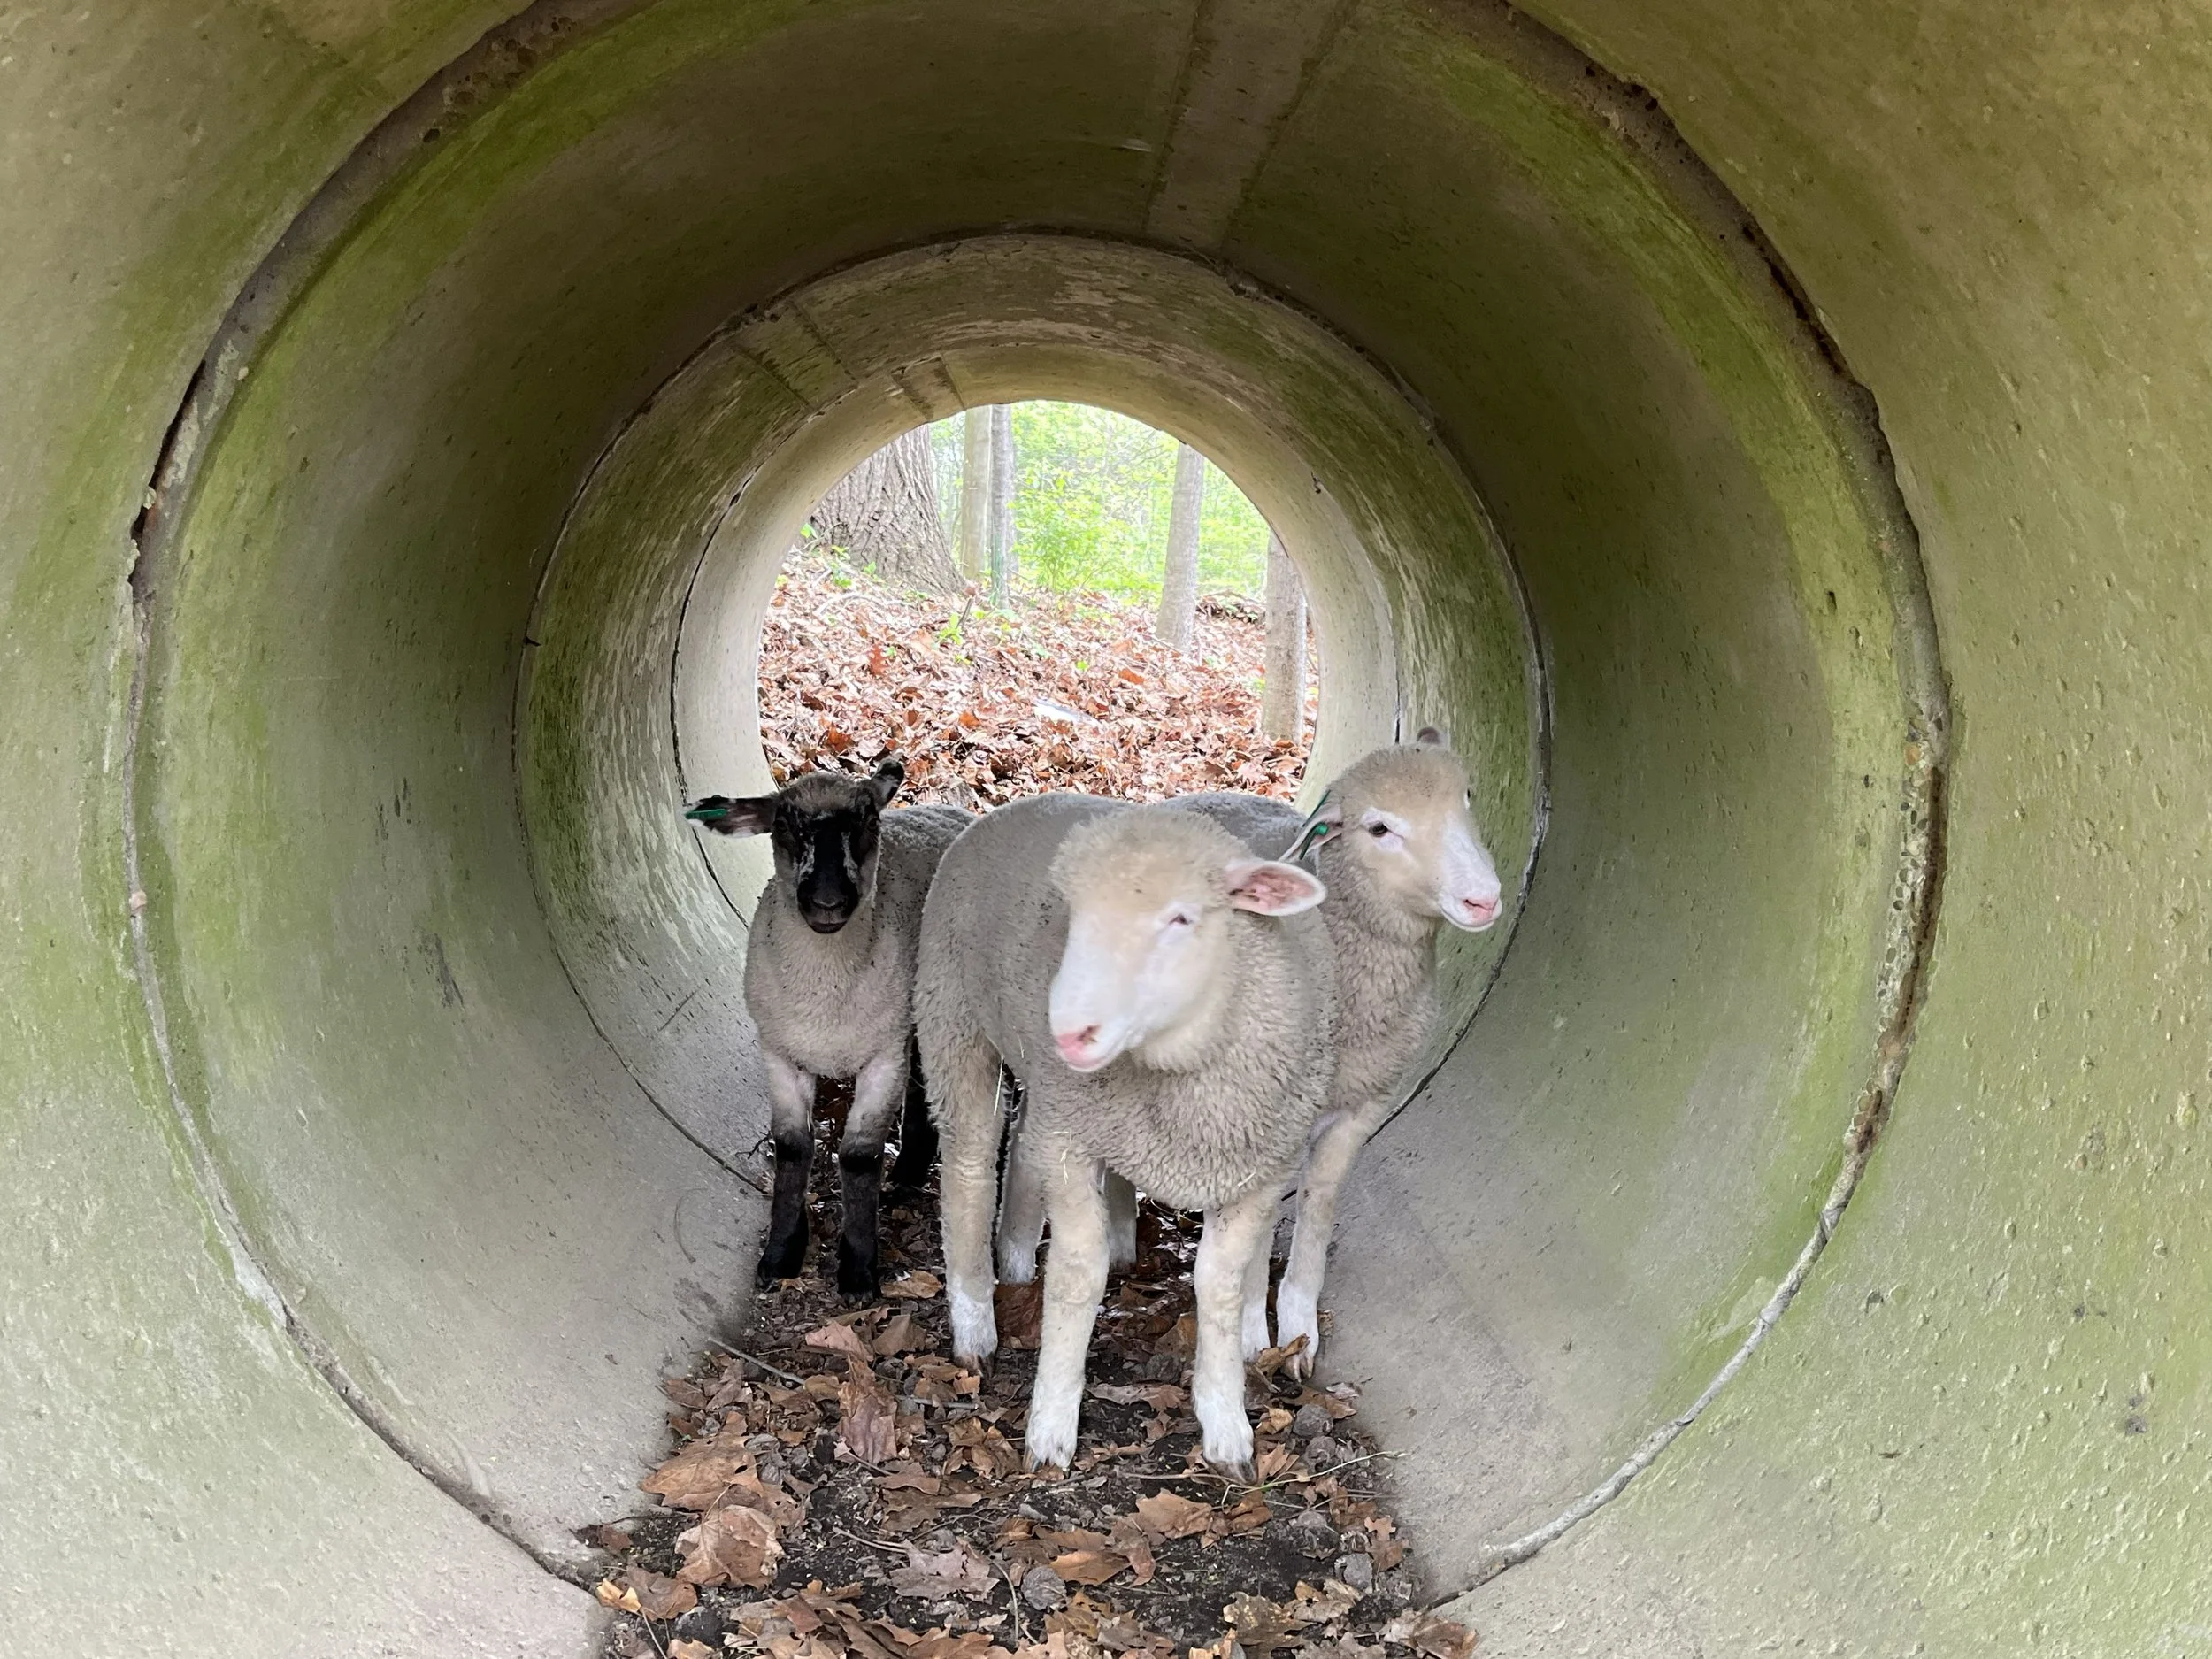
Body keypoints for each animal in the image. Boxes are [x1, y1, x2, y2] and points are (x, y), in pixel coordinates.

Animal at [685, 758, 971, 1300]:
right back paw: (909, 1172)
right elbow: (793, 1148)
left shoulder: (883, 1055)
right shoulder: (780, 1052)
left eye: (869, 823)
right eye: (783, 825)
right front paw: (780, 1255)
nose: (828, 902)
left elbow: (859, 1156)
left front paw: (858, 1271)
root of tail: (954, 809)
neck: (825, 997)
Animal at [915, 795, 1336, 1478]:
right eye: (1075, 915)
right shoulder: (1072, 1142)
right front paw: (1051, 1427)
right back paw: (975, 1322)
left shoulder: (1261, 1168)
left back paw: (1014, 1257)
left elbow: (1219, 1285)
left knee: (1022, 1143)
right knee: (970, 1166)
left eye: (1182, 918)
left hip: (1045, 1084)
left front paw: (1227, 1426)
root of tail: (1004, 808)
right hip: (952, 1013)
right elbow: (1078, 1272)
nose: (1067, 1029)